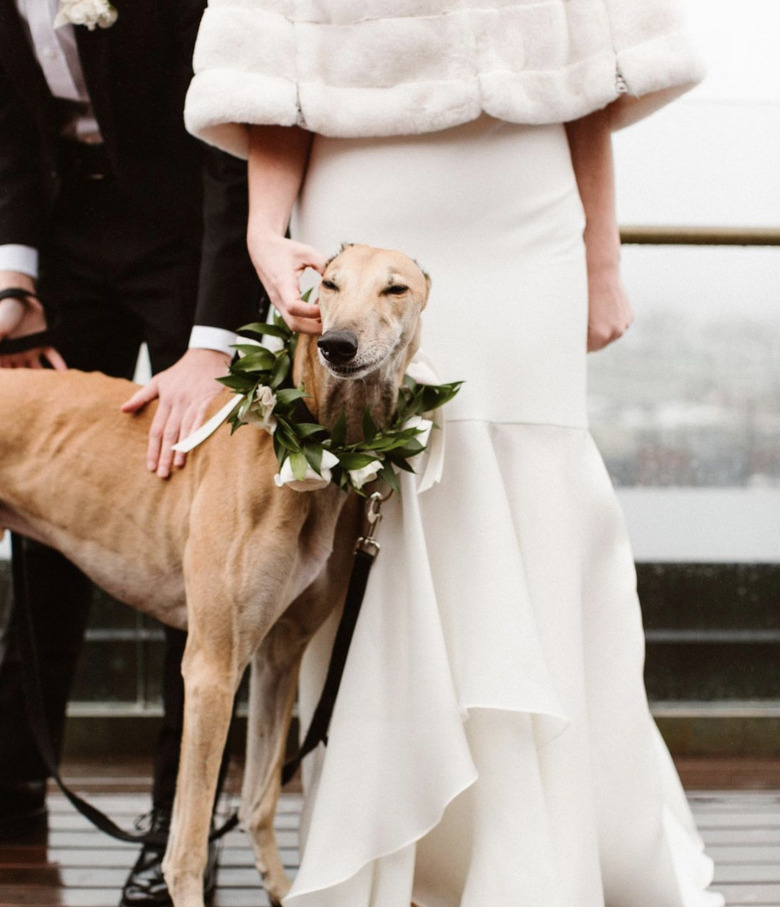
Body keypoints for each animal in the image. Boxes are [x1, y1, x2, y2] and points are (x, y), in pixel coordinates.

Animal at [0, 245, 426, 904]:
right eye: (328, 284)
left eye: (396, 288)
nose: (339, 345)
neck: (314, 450)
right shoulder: (212, 666)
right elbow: (187, 845)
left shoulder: (280, 650)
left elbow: (257, 798)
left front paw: (280, 885)